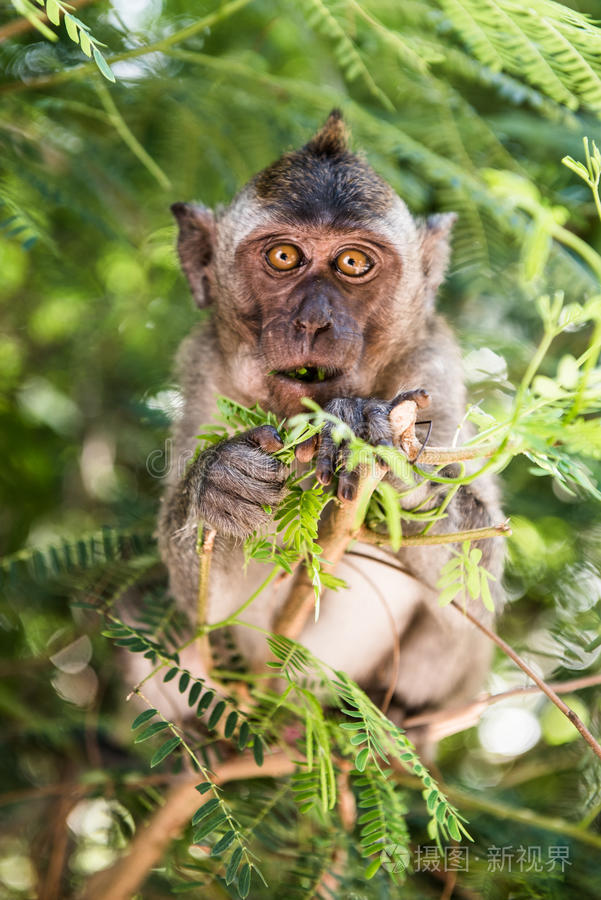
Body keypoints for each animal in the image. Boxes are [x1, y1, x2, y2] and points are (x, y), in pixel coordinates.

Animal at [150, 110, 502, 732]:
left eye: (353, 263)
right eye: (284, 257)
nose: (314, 320)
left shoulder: (433, 360)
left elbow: (480, 578)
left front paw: (386, 457)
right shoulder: (203, 366)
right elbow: (201, 607)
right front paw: (217, 485)